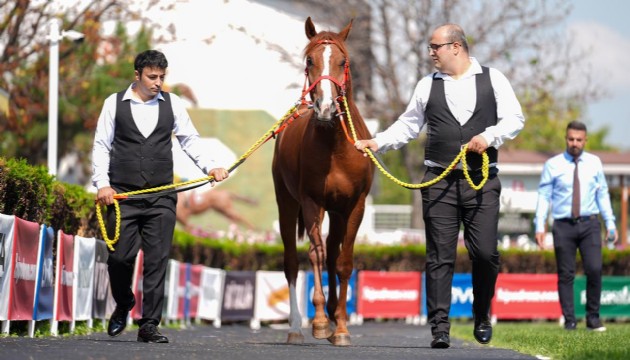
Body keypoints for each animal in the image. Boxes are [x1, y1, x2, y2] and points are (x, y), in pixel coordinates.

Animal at [272, 17, 376, 346]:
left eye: (343, 61)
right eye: (309, 61)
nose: (326, 108)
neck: (336, 145)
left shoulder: (355, 206)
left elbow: (343, 261)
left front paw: (340, 327)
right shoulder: (311, 202)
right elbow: (314, 255)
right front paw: (318, 321)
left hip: (337, 212)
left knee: (332, 252)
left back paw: (332, 316)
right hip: (287, 204)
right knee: (294, 261)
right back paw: (298, 326)